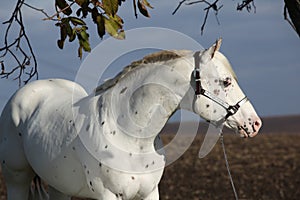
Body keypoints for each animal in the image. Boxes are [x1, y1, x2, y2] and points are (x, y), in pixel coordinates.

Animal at [0, 39, 260, 200]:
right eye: (226, 81)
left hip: (57, 185)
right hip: (16, 180)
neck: (130, 137)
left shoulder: (149, 193)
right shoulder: (108, 195)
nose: (255, 123)